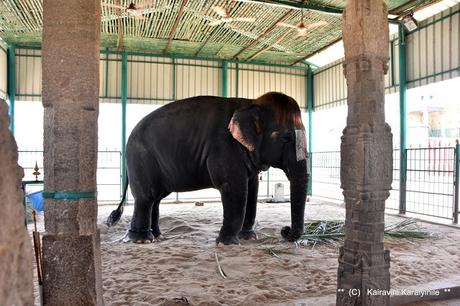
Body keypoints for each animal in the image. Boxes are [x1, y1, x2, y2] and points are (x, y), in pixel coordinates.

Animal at [106, 92, 310, 245]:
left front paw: (248, 238)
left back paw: (157, 236)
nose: (285, 230)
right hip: (141, 159)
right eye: (286, 138)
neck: (251, 103)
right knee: (146, 197)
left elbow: (252, 189)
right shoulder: (224, 147)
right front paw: (227, 243)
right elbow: (234, 188)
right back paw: (142, 240)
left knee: (156, 198)